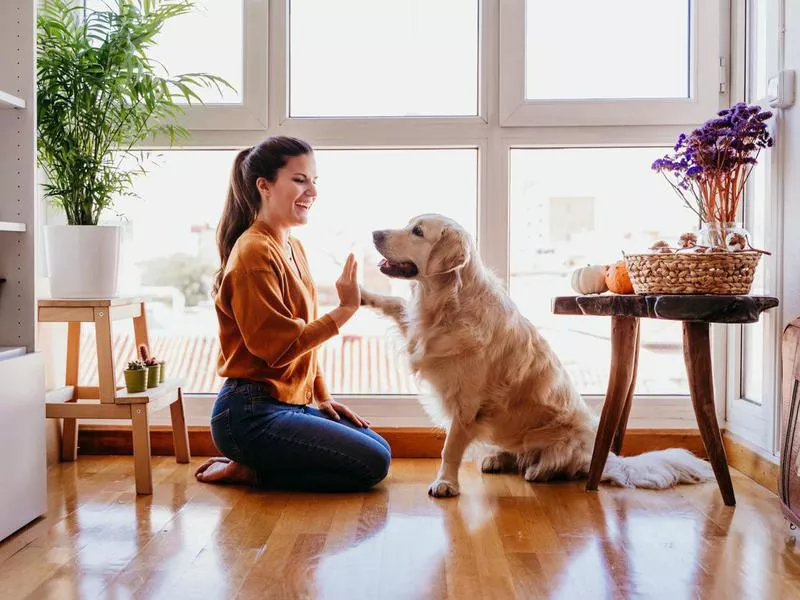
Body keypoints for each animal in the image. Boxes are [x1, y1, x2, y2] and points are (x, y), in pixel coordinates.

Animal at [360, 212, 708, 496]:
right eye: (408, 224)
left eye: (417, 231)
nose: (374, 233)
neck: (447, 303)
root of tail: (605, 457)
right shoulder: (418, 333)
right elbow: (395, 304)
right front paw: (361, 294)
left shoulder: (467, 404)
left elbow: (450, 449)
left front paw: (445, 483)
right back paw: (498, 458)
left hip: (563, 439)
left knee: (561, 464)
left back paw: (539, 471)